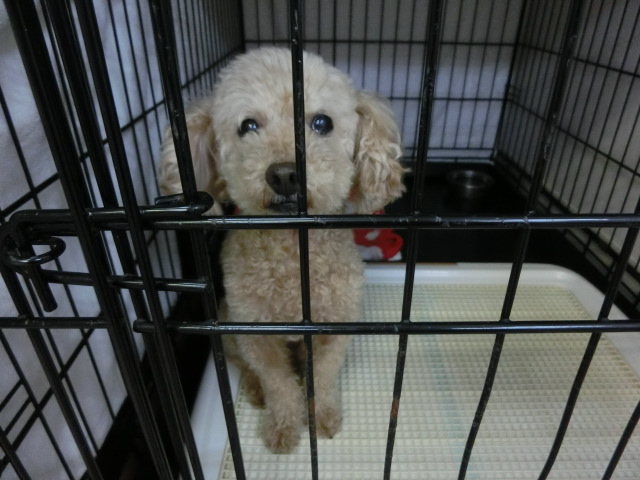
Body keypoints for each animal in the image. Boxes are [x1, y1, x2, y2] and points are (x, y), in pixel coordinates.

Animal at [159, 47, 404, 453]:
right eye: (248, 126)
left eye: (321, 123)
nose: (285, 174)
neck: (293, 254)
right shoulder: (256, 333)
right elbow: (277, 382)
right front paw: (284, 428)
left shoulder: (334, 326)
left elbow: (322, 375)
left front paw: (322, 415)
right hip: (230, 328)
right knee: (245, 366)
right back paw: (255, 389)